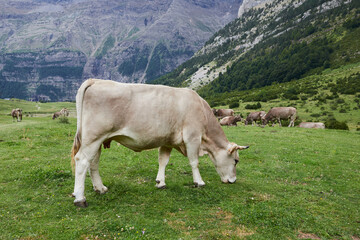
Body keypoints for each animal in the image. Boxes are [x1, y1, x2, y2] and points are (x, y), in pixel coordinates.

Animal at [70, 79, 250, 207]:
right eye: (236, 160)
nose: (233, 181)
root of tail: (96, 80)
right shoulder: (192, 137)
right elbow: (194, 162)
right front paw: (199, 182)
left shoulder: (167, 140)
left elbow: (163, 161)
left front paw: (160, 182)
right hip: (93, 138)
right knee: (82, 161)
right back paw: (80, 198)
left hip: (97, 140)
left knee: (93, 163)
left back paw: (100, 188)